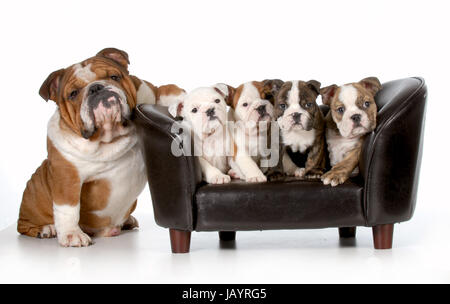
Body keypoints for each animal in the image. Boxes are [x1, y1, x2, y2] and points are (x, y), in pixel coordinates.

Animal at [17, 48, 183, 247]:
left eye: (114, 77)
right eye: (73, 93)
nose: (96, 88)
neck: (110, 137)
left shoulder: (147, 89)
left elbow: (167, 88)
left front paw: (183, 102)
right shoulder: (67, 175)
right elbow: (68, 208)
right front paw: (71, 234)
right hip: (33, 197)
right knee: (24, 225)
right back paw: (46, 229)